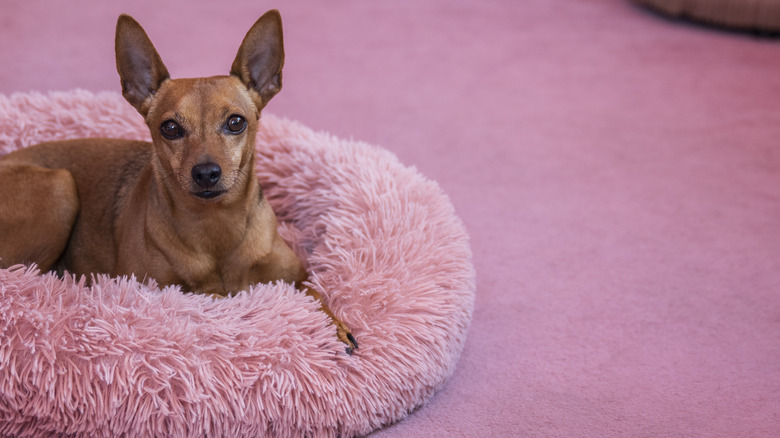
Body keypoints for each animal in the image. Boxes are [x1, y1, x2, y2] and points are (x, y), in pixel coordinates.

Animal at [0, 9, 358, 352]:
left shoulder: (297, 278)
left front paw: (334, 328)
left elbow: (314, 296)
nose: (206, 172)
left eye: (236, 122)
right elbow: (207, 294)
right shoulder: (148, 288)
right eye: (170, 128)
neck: (216, 226)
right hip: (60, 188)